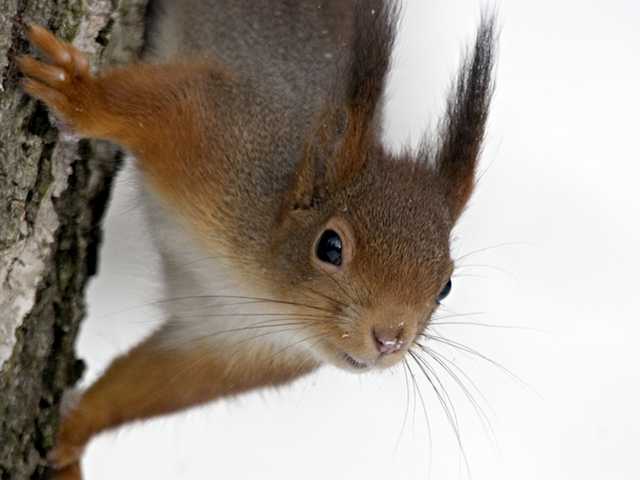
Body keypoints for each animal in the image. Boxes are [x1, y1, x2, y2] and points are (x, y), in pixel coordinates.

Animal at [15, 1, 496, 478]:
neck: (262, 293)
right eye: (330, 246)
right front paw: (78, 94)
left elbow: (152, 382)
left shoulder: (229, 346)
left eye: (446, 287)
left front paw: (73, 434)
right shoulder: (222, 135)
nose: (390, 338)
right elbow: (157, 105)